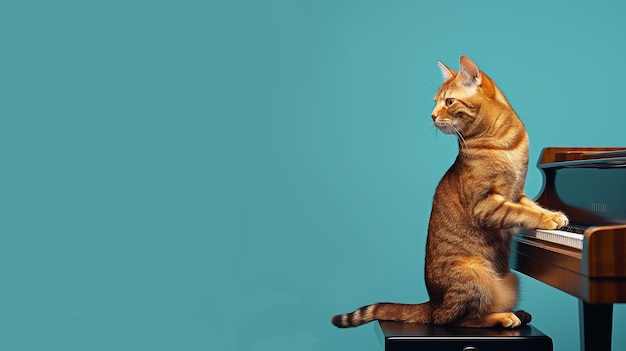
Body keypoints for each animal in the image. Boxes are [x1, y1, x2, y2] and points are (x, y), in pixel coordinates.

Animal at [332, 55, 564, 330]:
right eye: (435, 103)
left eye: (449, 102)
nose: (431, 116)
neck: (504, 142)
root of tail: (432, 302)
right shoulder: (486, 204)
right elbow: (520, 212)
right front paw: (549, 219)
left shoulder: (518, 192)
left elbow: (531, 207)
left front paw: (553, 214)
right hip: (475, 272)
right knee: (454, 319)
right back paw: (504, 316)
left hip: (510, 281)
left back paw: (518, 313)